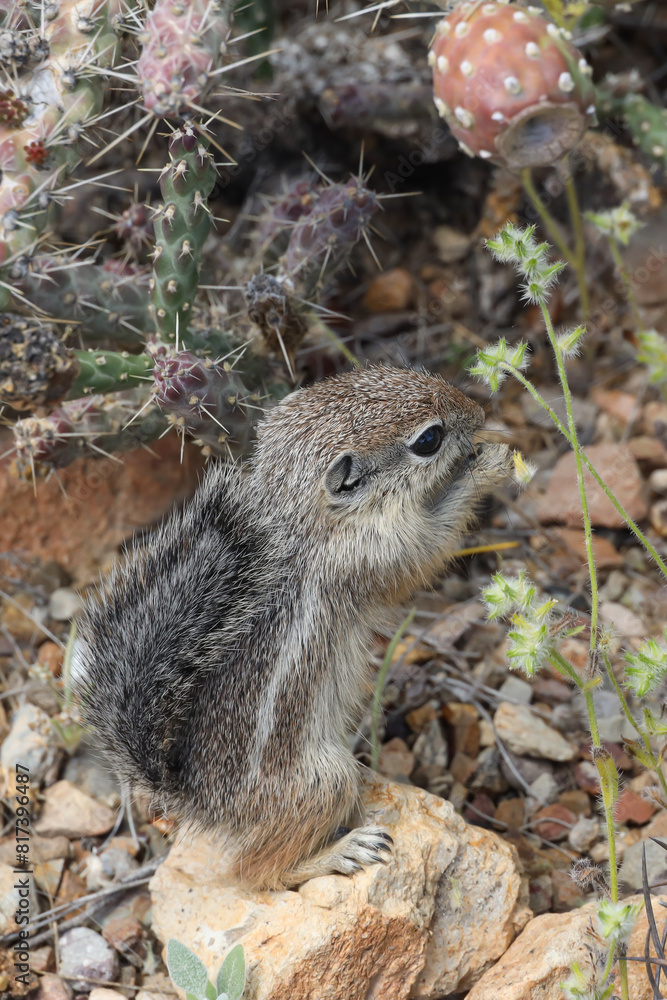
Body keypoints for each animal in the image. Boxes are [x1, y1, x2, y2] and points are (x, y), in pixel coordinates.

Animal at [72, 364, 510, 889]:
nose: (480, 413)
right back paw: (341, 852)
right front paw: (490, 463)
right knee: (255, 872)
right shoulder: (373, 556)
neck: (305, 520)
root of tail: (199, 805)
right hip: (326, 779)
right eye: (429, 439)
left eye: (404, 371)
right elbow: (430, 547)